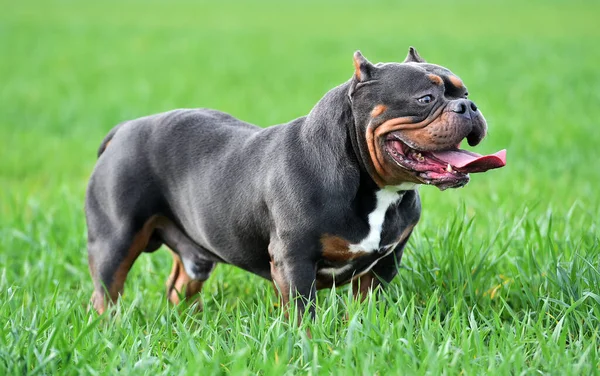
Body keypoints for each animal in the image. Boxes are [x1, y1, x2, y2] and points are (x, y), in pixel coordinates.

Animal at [84, 47, 506, 318]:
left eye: (465, 92)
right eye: (425, 99)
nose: (469, 106)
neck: (374, 186)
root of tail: (124, 129)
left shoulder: (383, 265)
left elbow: (369, 308)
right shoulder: (294, 262)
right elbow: (303, 316)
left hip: (193, 257)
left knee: (179, 286)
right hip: (115, 240)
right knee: (106, 291)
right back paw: (111, 328)